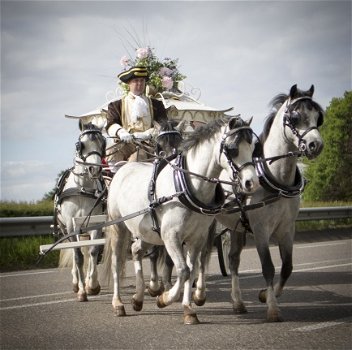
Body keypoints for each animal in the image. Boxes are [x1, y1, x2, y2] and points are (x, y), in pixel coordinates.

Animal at [55, 122, 106, 300]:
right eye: (81, 144)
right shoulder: (71, 226)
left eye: (103, 143)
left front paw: (92, 285)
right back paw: (76, 283)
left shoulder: (97, 223)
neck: (83, 188)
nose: (94, 169)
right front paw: (82, 291)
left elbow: (93, 251)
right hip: (64, 229)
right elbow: (78, 256)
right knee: (74, 251)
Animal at [103, 116, 260, 324]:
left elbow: (191, 270)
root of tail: (122, 168)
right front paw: (164, 298)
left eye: (253, 147)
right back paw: (118, 303)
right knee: (117, 261)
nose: (252, 183)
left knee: (136, 250)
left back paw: (138, 298)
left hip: (147, 233)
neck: (187, 186)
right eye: (232, 148)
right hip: (119, 227)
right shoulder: (171, 236)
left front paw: (188, 309)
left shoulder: (197, 238)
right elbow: (183, 270)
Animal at [213, 84, 324, 320]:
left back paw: (238, 302)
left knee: (233, 260)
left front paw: (265, 295)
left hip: (236, 227)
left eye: (318, 117)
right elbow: (268, 267)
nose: (315, 145)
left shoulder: (287, 228)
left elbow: (287, 267)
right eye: (295, 117)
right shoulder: (260, 229)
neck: (275, 180)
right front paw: (272, 307)